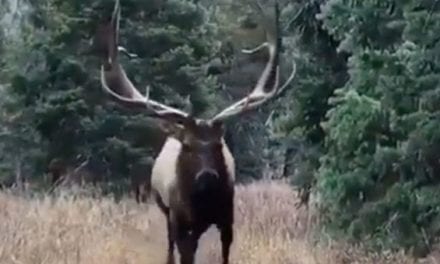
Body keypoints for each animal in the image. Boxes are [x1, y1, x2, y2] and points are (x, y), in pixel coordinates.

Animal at [94, 1, 298, 262]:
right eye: (188, 145)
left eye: (219, 144)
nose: (207, 175)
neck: (202, 205)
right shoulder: (179, 217)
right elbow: (184, 251)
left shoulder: (227, 216)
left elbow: (223, 252)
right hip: (165, 208)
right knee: (172, 243)